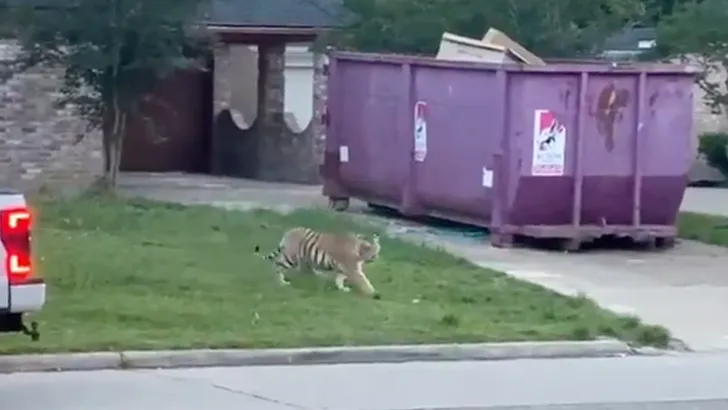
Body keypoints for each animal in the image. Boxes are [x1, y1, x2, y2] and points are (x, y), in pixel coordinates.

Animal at [253, 227, 382, 298]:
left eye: (378, 251)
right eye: (374, 252)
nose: (376, 258)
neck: (359, 249)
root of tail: (289, 232)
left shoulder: (345, 269)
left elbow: (339, 279)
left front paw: (342, 289)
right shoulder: (353, 269)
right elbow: (364, 281)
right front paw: (373, 292)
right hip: (291, 257)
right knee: (277, 265)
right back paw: (281, 282)